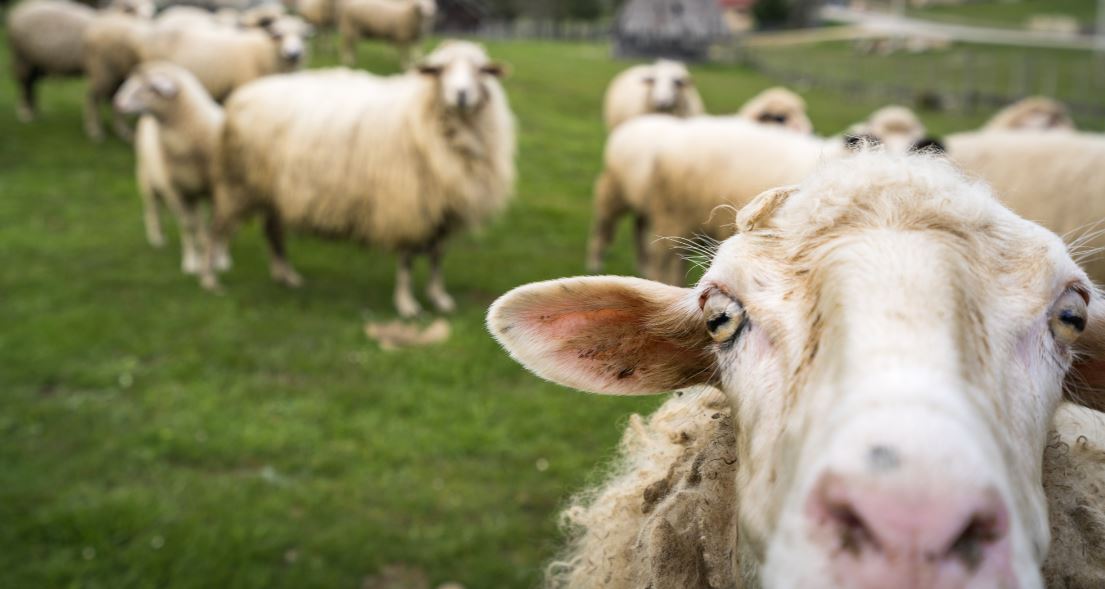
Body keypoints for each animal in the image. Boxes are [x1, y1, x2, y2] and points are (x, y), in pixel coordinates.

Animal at [113, 63, 226, 274]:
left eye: (149, 87)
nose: (117, 103)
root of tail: (146, 119)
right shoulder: (176, 191)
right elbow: (187, 226)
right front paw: (191, 263)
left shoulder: (218, 189)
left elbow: (217, 224)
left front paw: (222, 260)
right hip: (147, 180)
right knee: (153, 208)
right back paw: (157, 237)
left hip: (192, 191)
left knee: (199, 219)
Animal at [200, 40, 517, 316]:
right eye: (439, 70)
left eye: (481, 70)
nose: (461, 95)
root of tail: (245, 93)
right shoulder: (406, 205)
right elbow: (406, 261)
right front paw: (407, 305)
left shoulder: (444, 210)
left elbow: (437, 258)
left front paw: (439, 298)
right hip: (236, 184)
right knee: (216, 231)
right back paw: (209, 280)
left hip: (275, 192)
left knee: (273, 233)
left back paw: (287, 277)